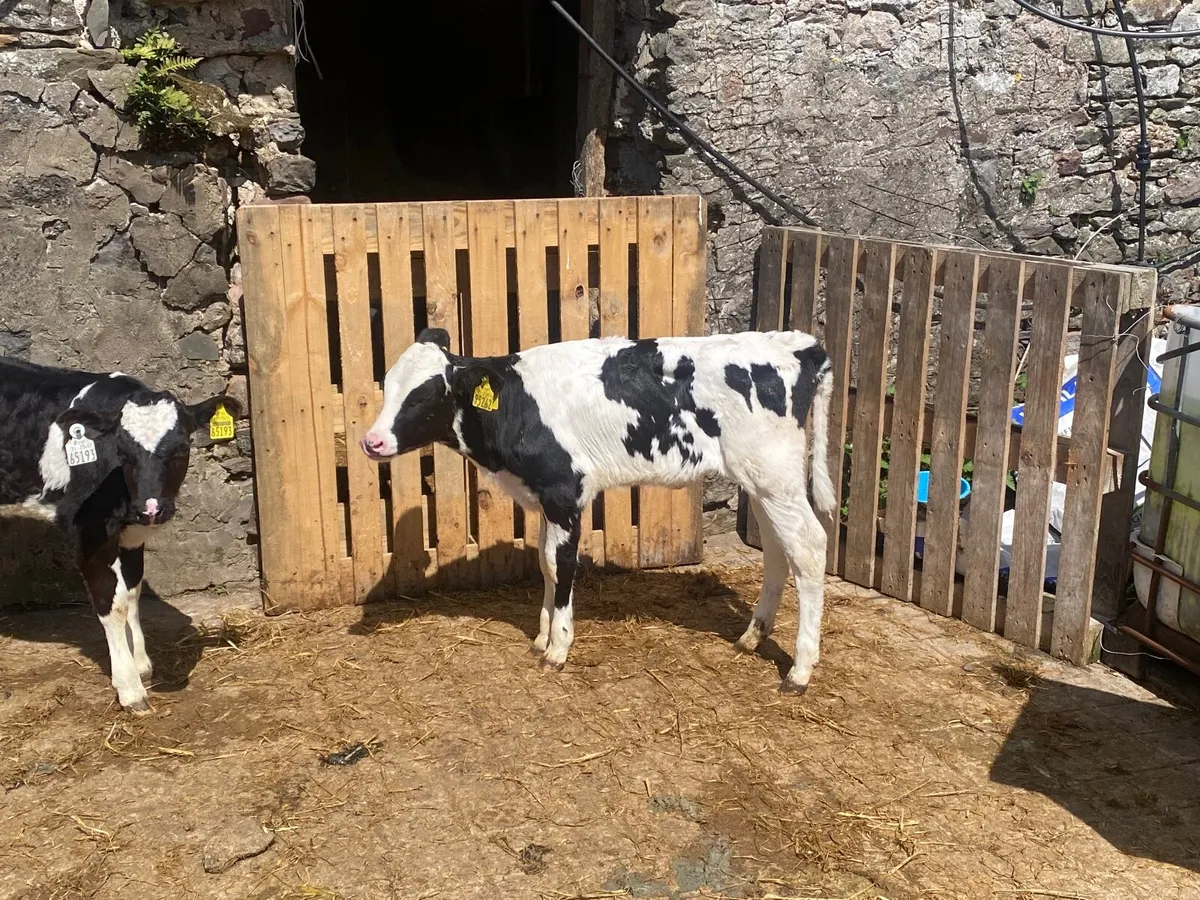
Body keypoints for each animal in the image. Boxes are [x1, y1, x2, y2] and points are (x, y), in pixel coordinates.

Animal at [0, 357, 240, 713]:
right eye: (123, 453)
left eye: (181, 448)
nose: (151, 509)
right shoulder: (88, 531)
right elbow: (110, 603)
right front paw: (129, 687)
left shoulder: (132, 533)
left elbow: (132, 593)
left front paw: (141, 663)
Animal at [361, 328, 836, 695]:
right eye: (387, 384)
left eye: (424, 395)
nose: (372, 442)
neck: (517, 404)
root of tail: (800, 345)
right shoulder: (545, 499)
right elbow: (545, 562)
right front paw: (540, 637)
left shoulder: (564, 491)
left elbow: (562, 564)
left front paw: (557, 647)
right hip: (761, 482)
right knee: (777, 550)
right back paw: (752, 637)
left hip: (776, 478)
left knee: (810, 549)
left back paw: (799, 671)